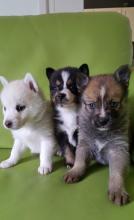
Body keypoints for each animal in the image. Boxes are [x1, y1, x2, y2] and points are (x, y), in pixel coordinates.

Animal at [63, 64, 131, 205]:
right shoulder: (84, 145)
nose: (103, 120)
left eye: (114, 103)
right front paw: (74, 171)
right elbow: (80, 161)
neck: (101, 133)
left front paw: (117, 190)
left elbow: (116, 173)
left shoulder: (118, 150)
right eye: (92, 105)